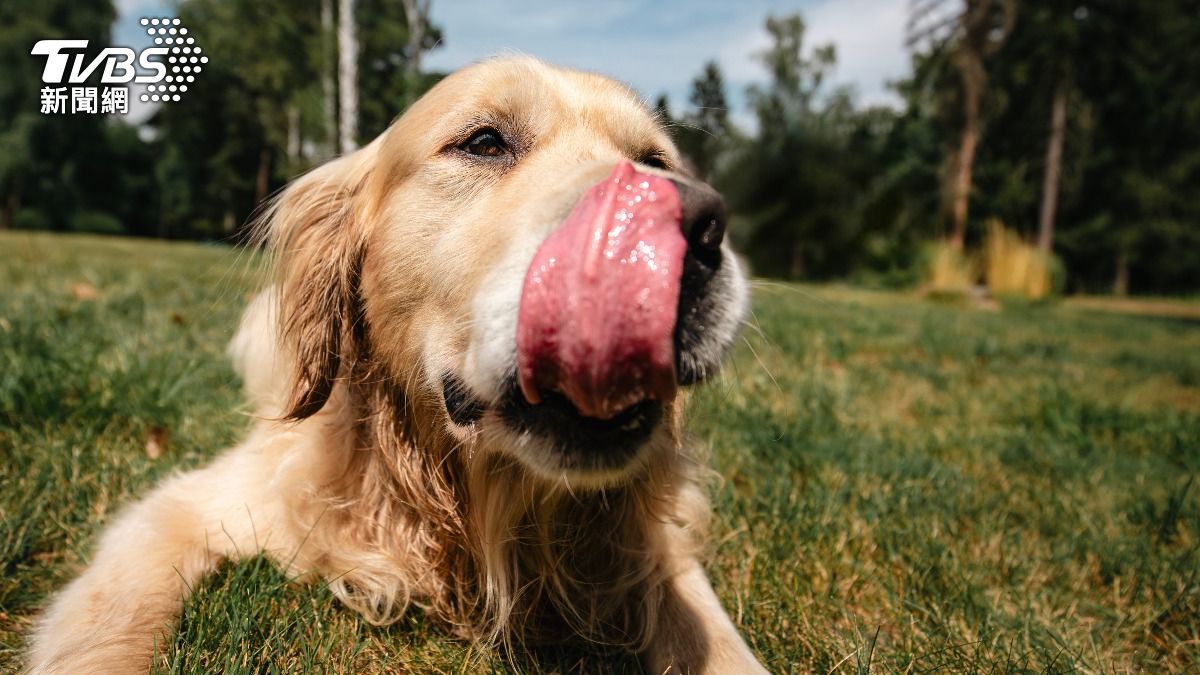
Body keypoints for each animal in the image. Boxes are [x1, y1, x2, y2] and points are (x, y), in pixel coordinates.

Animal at [25, 55, 768, 667]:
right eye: (484, 142)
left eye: (658, 162)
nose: (698, 225)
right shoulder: (189, 509)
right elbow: (110, 625)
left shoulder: (653, 546)